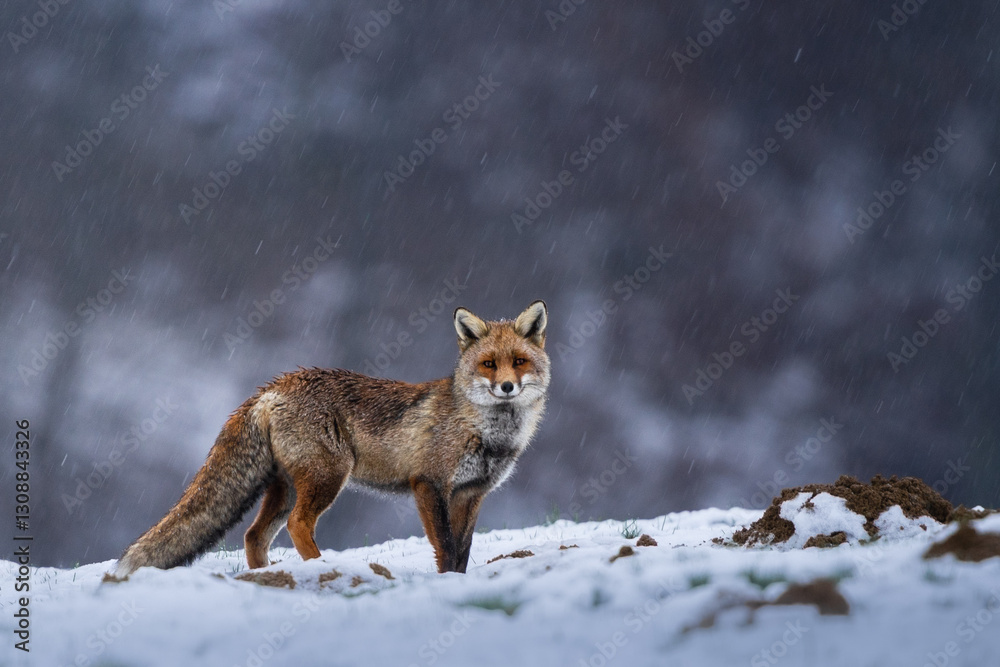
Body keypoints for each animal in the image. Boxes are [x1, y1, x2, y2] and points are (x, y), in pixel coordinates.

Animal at [113, 301, 549, 577]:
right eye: (488, 364)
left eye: (519, 362)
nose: (507, 387)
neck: (484, 430)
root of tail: (273, 385)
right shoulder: (429, 484)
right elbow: (444, 546)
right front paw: (445, 582)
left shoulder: (470, 494)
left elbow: (463, 549)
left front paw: (458, 580)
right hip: (327, 476)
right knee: (297, 524)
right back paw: (320, 565)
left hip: (286, 486)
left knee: (254, 535)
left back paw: (264, 576)